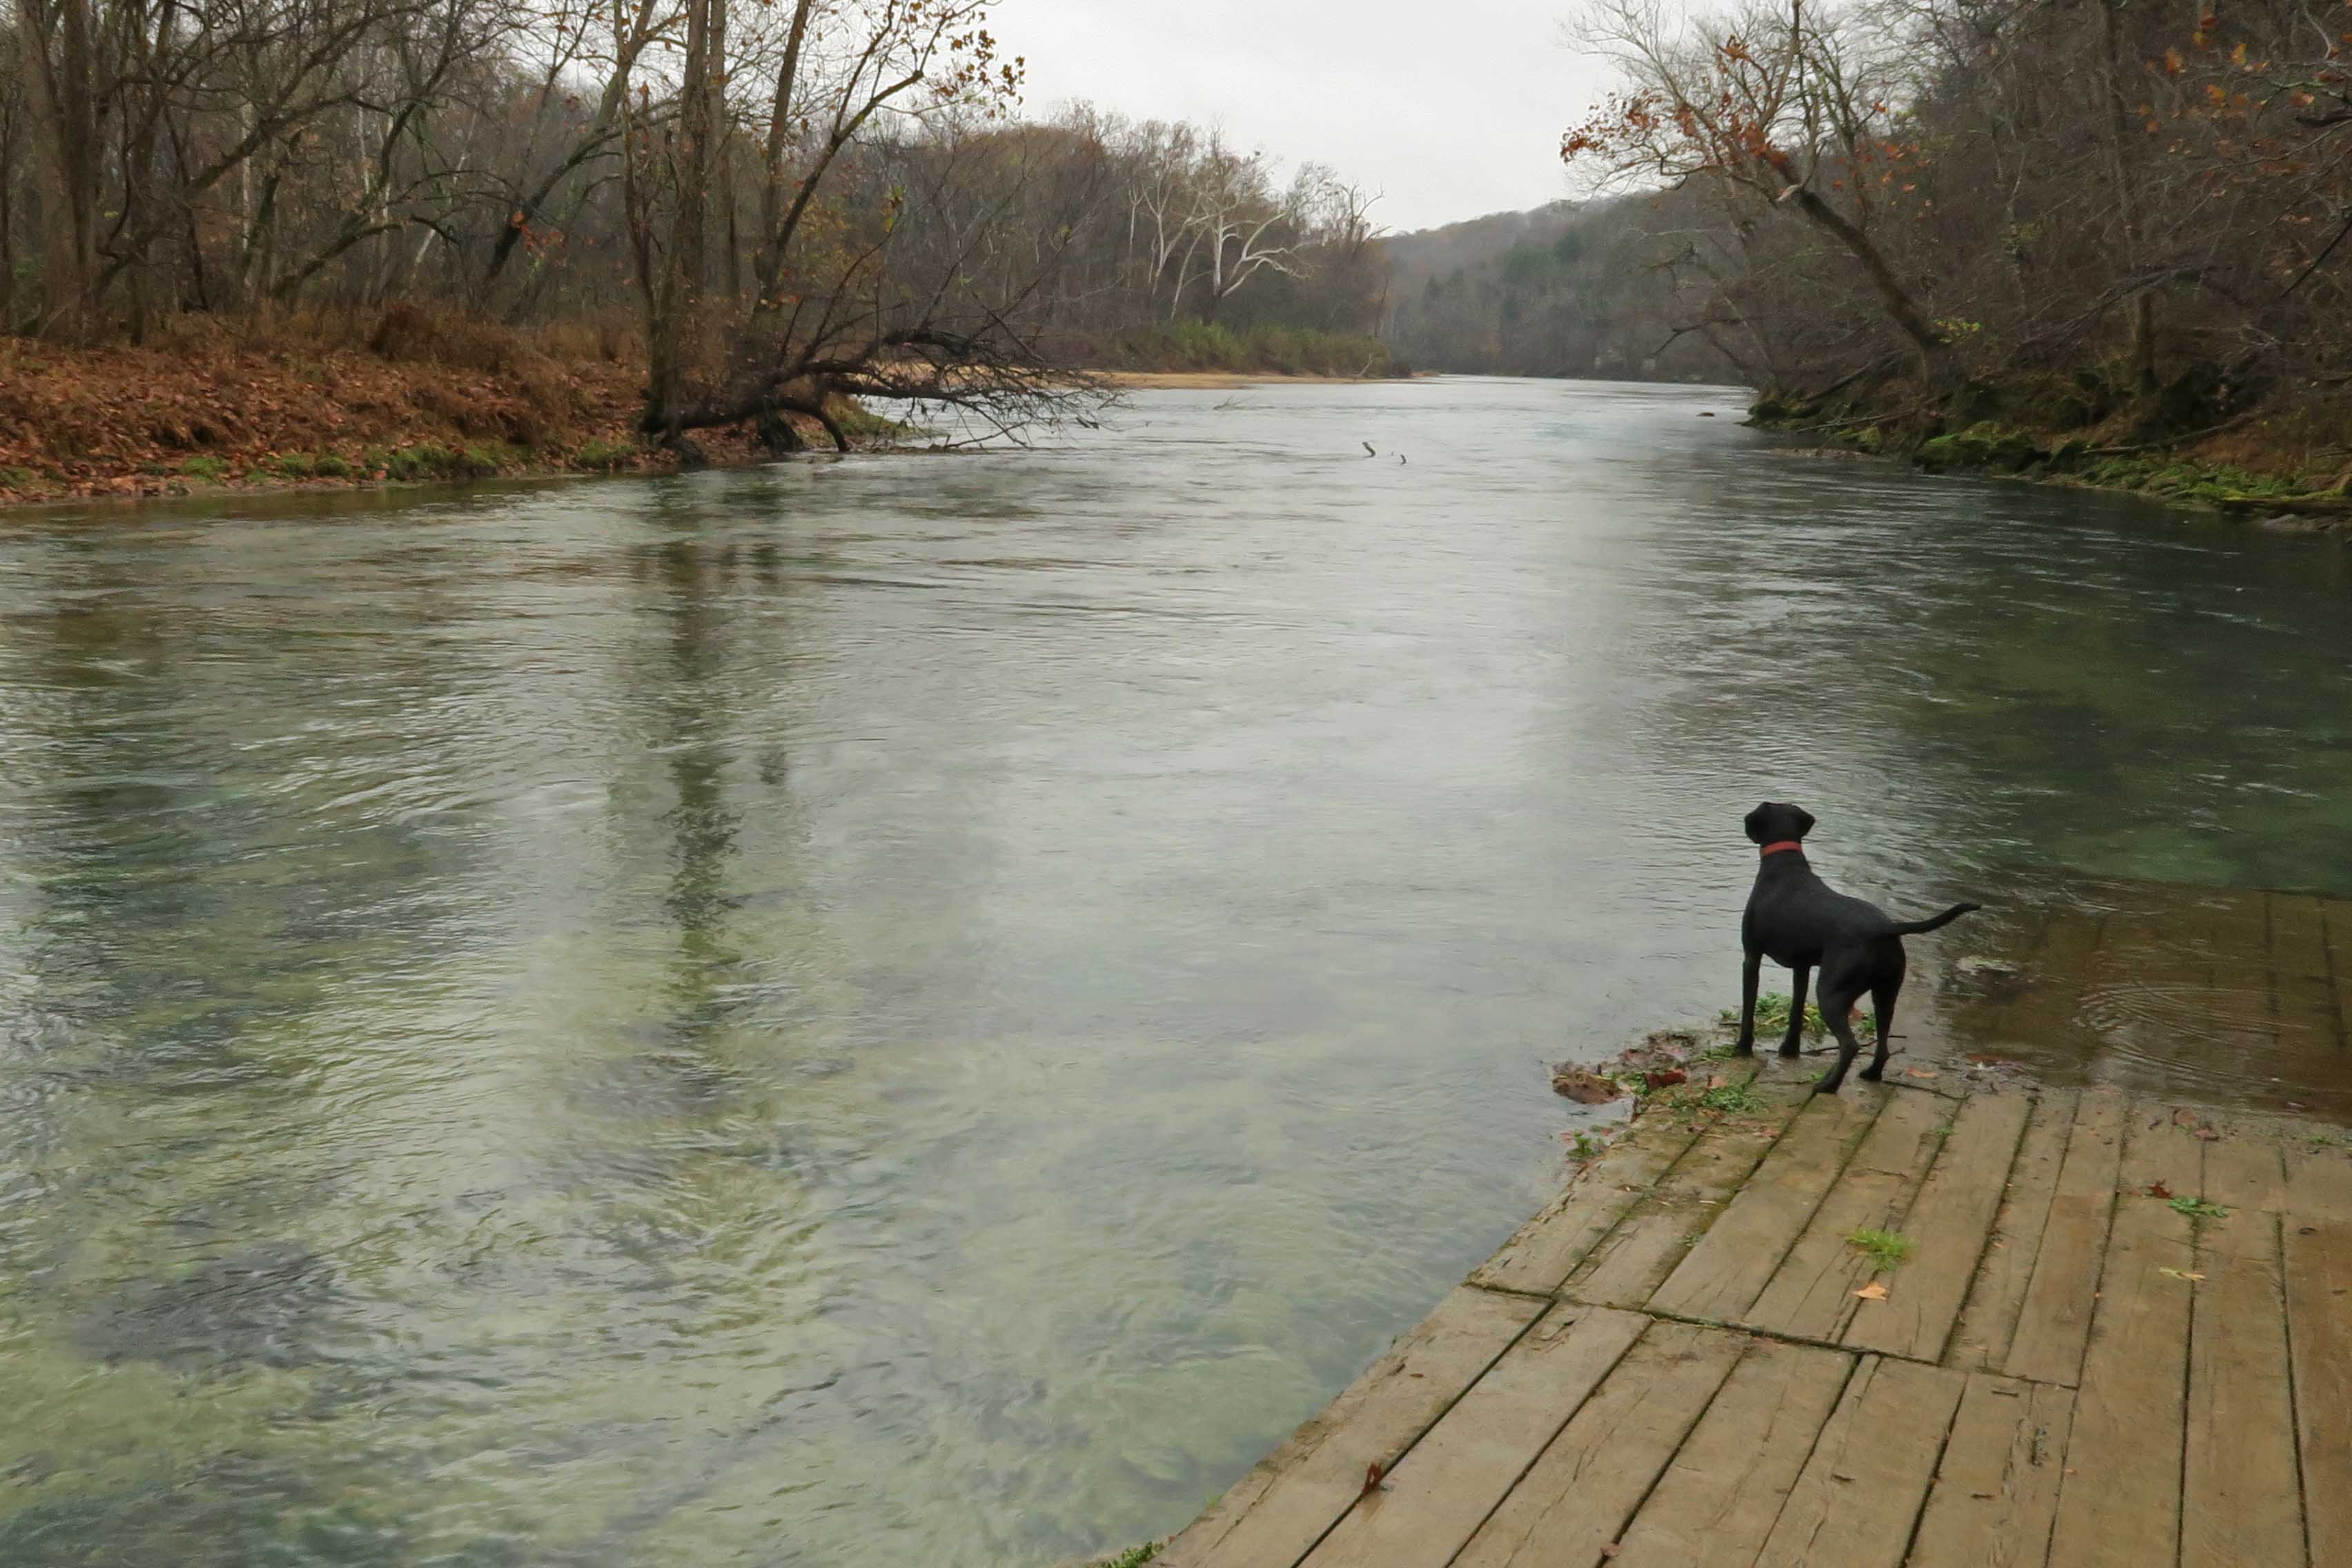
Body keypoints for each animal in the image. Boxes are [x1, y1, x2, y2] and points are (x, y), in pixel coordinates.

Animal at [1731, 803, 1985, 1100]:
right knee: (1883, 1043)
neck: (1784, 866)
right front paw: (1790, 1050)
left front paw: (1743, 1049)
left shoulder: (1752, 957)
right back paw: (1871, 1074)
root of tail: (1884, 927)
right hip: (1886, 993)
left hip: (1831, 993)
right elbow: (1796, 1011)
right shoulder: (1802, 968)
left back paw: (1828, 1086)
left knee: (1850, 1045)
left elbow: (1749, 1009)